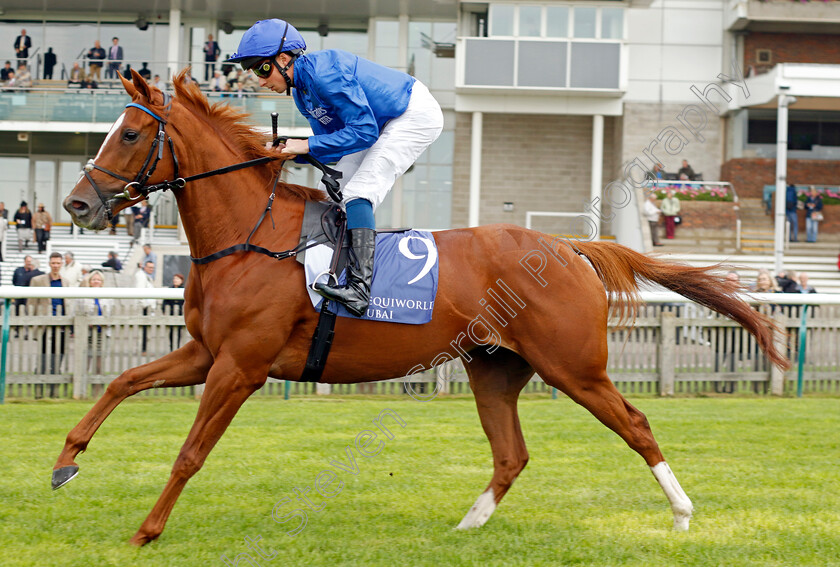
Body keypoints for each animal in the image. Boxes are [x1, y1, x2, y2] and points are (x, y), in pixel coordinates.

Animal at [55, 71, 784, 544]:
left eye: (128, 135)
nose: (77, 204)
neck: (251, 234)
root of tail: (568, 246)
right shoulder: (207, 351)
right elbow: (122, 381)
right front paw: (66, 460)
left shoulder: (241, 365)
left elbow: (189, 452)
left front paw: (147, 530)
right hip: (494, 368)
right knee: (512, 453)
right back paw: (468, 523)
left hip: (574, 366)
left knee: (635, 423)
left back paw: (682, 513)